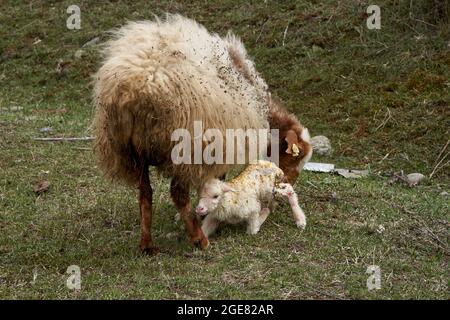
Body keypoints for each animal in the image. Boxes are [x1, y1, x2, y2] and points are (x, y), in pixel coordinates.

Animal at [92, 15, 312, 254]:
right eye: (296, 157)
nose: (286, 182)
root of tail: (135, 88)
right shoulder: (221, 147)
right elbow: (218, 181)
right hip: (183, 148)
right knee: (177, 193)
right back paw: (199, 239)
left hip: (131, 151)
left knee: (145, 194)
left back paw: (147, 245)